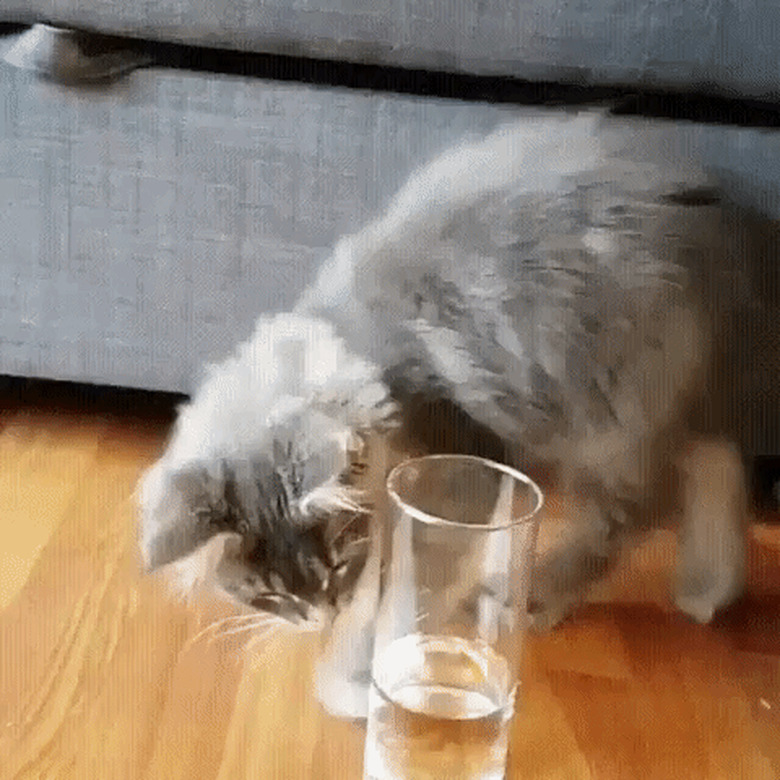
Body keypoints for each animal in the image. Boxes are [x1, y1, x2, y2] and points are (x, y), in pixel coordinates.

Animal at [140, 111, 780, 640]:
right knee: (716, 463)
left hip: (612, 408)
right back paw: (710, 589)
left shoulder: (464, 466)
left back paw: (539, 597)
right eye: (269, 594)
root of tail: (731, 211)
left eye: (336, 566)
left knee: (637, 511)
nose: (321, 616)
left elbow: (425, 572)